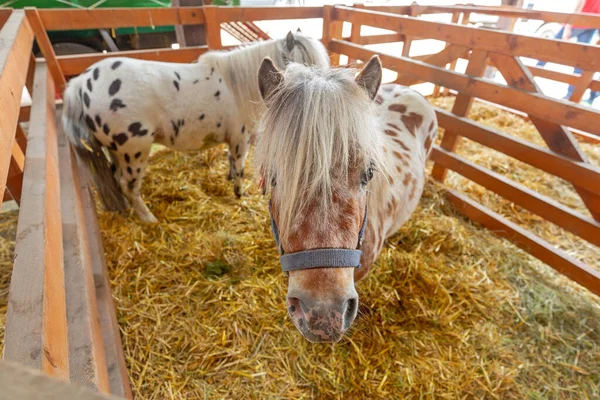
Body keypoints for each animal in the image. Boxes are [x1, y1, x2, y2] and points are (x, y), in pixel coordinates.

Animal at [63, 32, 330, 222]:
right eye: (303, 64)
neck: (238, 84)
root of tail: (82, 83)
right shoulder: (241, 139)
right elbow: (239, 168)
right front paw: (239, 195)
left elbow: (231, 164)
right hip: (133, 152)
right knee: (129, 188)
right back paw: (148, 218)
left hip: (118, 153)